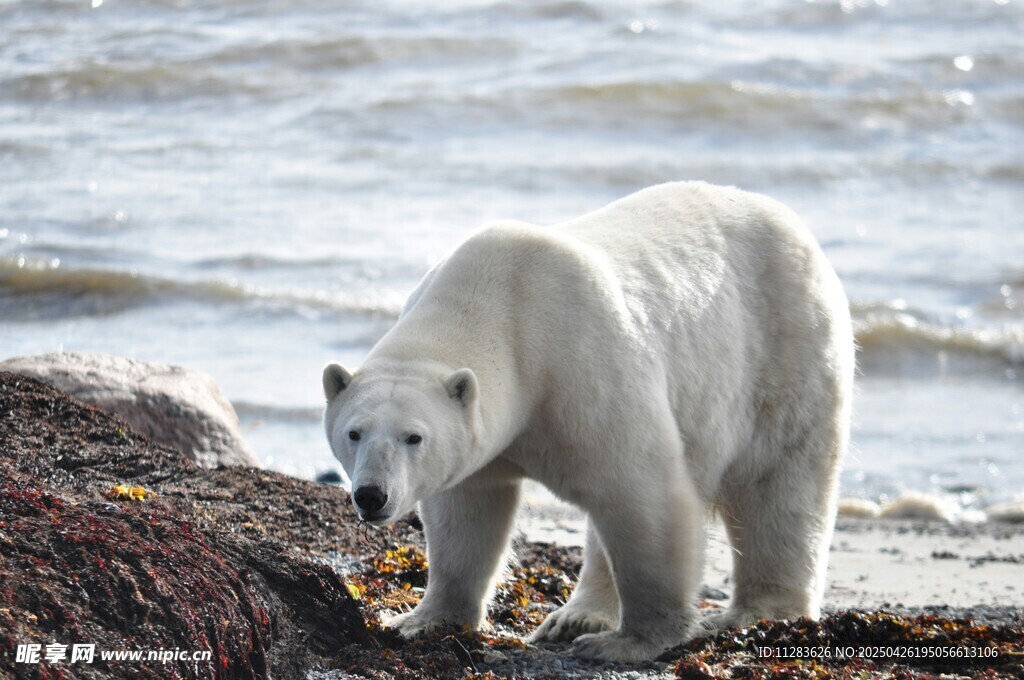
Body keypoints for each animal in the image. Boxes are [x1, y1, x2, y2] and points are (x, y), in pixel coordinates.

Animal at [322, 181, 854, 663]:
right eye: (354, 433)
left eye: (414, 437)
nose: (371, 495)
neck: (502, 307)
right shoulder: (487, 436)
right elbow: (469, 512)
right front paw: (420, 621)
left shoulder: (582, 368)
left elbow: (641, 491)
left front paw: (630, 643)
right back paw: (576, 616)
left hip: (785, 349)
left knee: (778, 485)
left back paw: (762, 611)